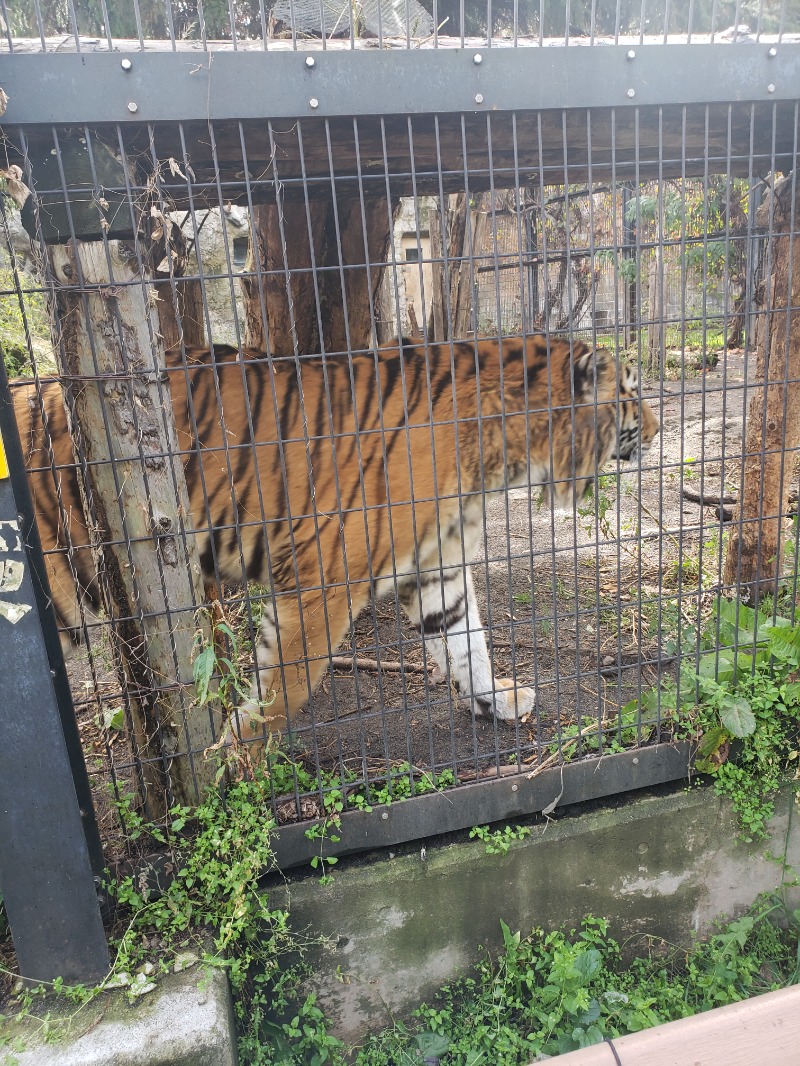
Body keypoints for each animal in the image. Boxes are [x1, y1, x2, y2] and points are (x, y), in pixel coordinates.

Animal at [14, 336, 657, 737]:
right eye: (632, 391)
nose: (657, 427)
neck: (502, 458)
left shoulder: (438, 571)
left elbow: (467, 644)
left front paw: (497, 700)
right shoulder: (320, 587)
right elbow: (284, 694)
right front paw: (234, 776)